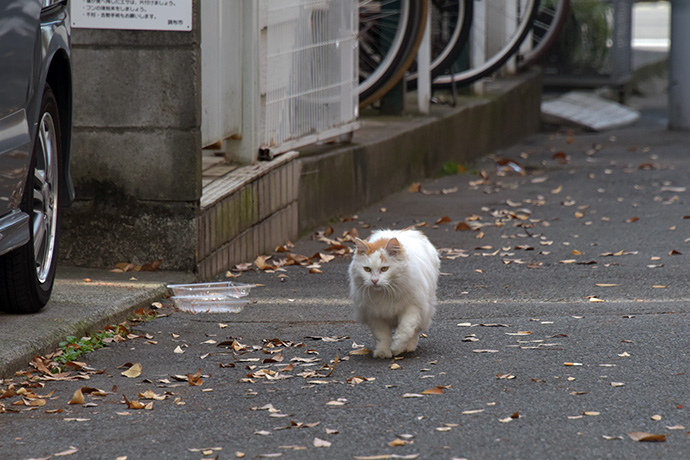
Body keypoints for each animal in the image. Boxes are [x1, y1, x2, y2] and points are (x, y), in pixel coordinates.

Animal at [346, 228, 438, 358]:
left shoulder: (412, 308)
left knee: (415, 332)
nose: (374, 280)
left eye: (384, 269)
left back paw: (409, 347)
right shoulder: (374, 314)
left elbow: (405, 330)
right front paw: (383, 353)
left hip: (426, 310)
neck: (385, 293)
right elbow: (382, 336)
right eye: (367, 269)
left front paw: (397, 348)